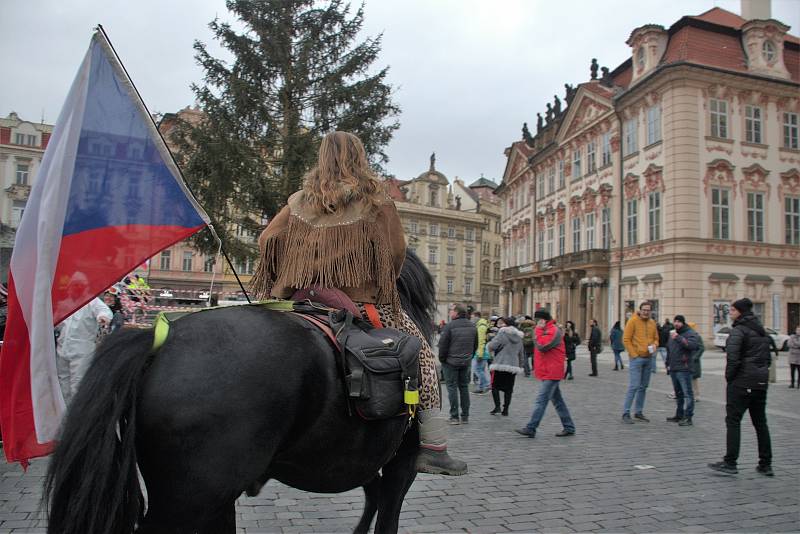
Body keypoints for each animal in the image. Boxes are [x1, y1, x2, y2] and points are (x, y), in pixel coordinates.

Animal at [43, 251, 438, 534]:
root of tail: (157, 340)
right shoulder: (401, 463)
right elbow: (387, 513)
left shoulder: (362, 461)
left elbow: (375, 497)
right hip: (191, 499)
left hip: (208, 498)